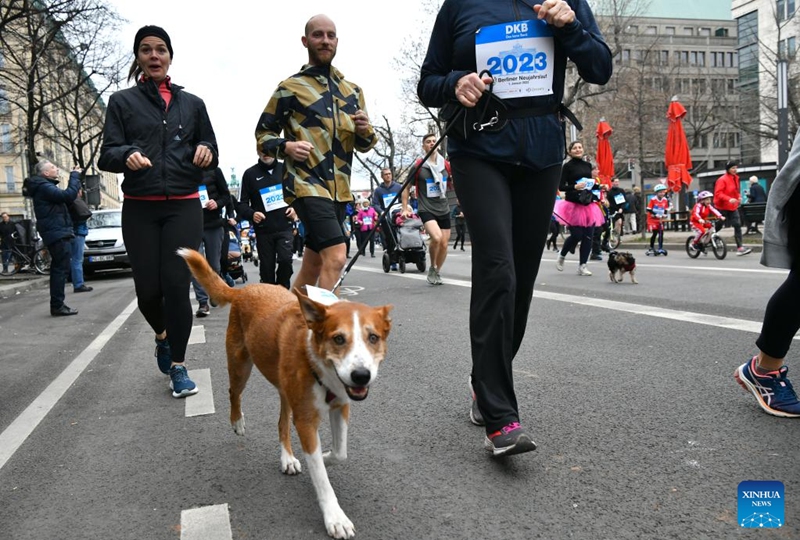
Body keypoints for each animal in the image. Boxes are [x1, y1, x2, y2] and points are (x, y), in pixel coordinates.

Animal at [180, 250, 394, 540]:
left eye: (373, 338)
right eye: (338, 339)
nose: (361, 375)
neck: (317, 362)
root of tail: (245, 290)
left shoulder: (340, 405)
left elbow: (340, 453)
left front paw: (324, 456)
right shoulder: (306, 421)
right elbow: (322, 479)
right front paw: (335, 517)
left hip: (286, 390)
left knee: (282, 422)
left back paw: (288, 458)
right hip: (240, 366)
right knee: (233, 392)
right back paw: (237, 421)